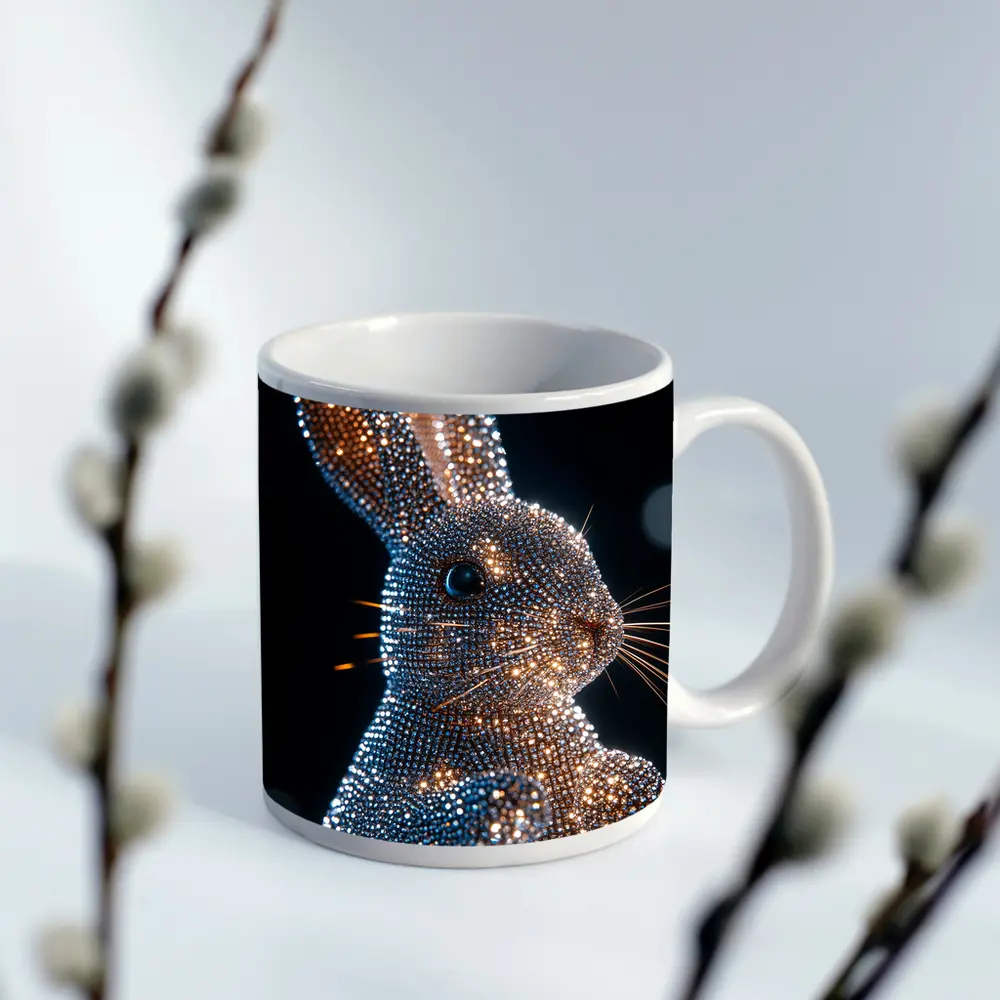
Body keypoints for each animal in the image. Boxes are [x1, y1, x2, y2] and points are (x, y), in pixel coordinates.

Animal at [295, 400, 665, 846]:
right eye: (463, 579)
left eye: (581, 547)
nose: (593, 622)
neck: (505, 717)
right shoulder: (365, 801)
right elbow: (401, 817)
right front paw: (508, 800)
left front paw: (623, 778)